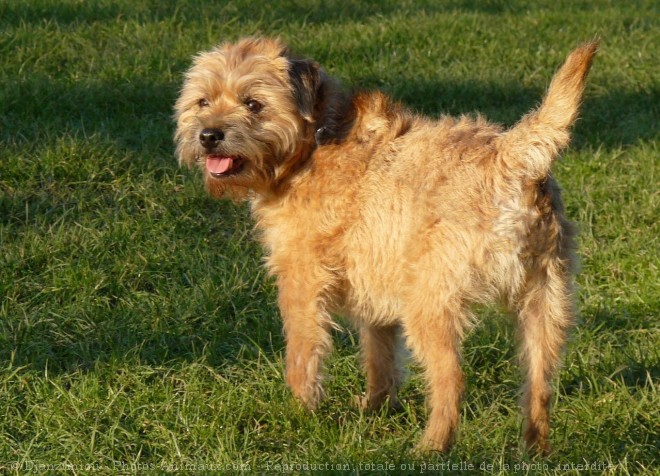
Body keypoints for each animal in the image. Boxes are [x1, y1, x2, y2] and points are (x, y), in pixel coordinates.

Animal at [174, 38, 600, 454]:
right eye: (203, 102)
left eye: (253, 103)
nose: (208, 135)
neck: (313, 144)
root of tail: (512, 159)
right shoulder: (375, 287)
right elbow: (379, 356)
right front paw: (377, 408)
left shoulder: (302, 282)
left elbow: (303, 352)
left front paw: (301, 410)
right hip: (545, 302)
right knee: (540, 384)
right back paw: (534, 448)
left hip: (430, 304)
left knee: (451, 378)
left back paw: (432, 447)